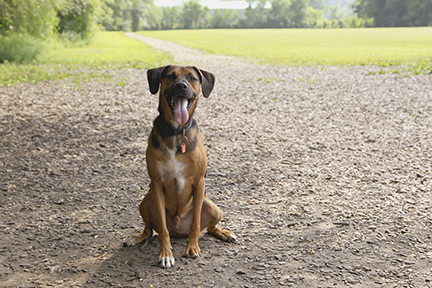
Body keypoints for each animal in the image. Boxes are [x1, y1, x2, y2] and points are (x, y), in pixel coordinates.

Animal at [125, 64, 236, 268]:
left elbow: (196, 224)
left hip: (212, 207)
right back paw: (136, 237)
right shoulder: (156, 184)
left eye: (192, 78)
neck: (177, 132)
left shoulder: (199, 182)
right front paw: (166, 254)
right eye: (170, 76)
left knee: (210, 228)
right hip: (146, 201)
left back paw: (223, 233)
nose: (181, 86)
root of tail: (178, 230)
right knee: (149, 230)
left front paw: (192, 248)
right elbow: (162, 228)